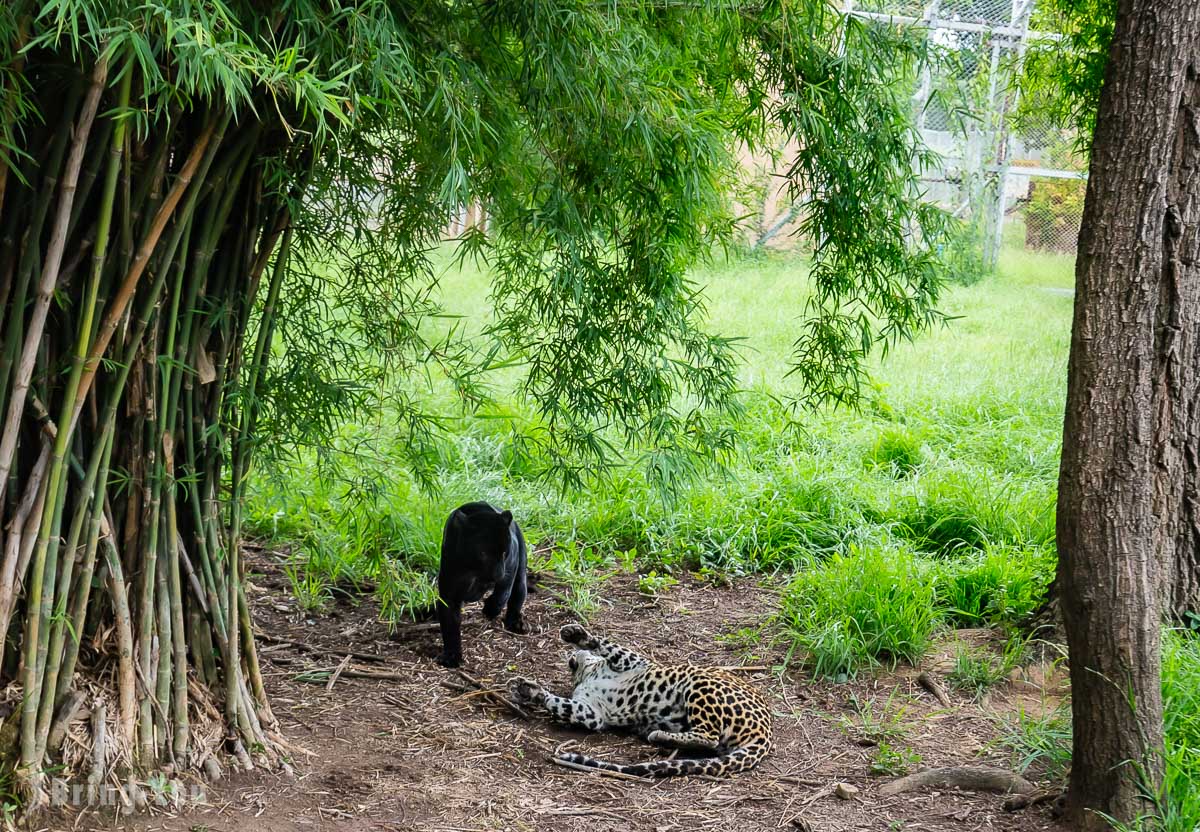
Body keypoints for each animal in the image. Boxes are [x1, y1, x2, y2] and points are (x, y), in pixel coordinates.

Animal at [508, 624, 772, 777]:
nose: (570, 659)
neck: (587, 676)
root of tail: (766, 733)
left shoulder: (634, 662)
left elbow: (609, 646)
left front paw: (577, 635)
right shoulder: (592, 715)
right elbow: (560, 704)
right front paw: (528, 690)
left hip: (700, 682)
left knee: (709, 734)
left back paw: (658, 735)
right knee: (708, 740)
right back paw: (660, 735)